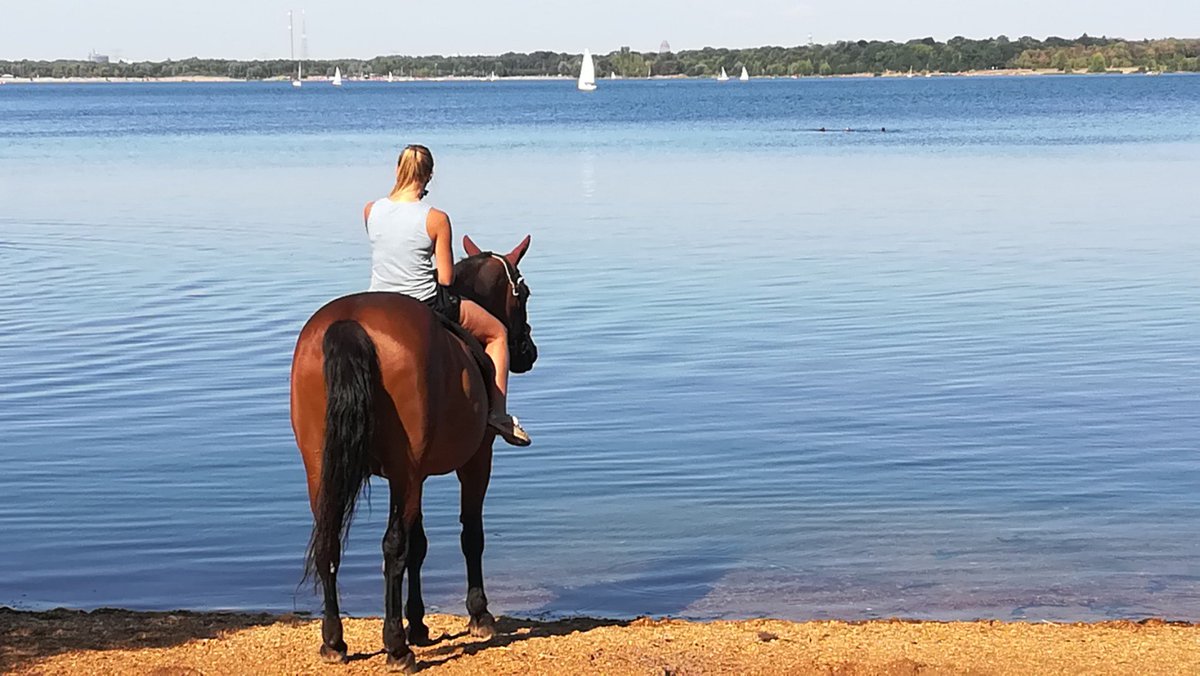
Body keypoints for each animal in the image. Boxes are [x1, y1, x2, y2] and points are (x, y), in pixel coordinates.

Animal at [289, 235, 537, 672]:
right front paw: (478, 613)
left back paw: (334, 640)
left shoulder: (414, 475)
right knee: (392, 548)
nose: (528, 350)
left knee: (329, 539)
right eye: (522, 294)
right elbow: (469, 534)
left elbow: (419, 544)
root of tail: (349, 325)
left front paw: (418, 623)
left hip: (320, 465)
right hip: (403, 472)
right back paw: (395, 646)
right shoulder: (473, 462)